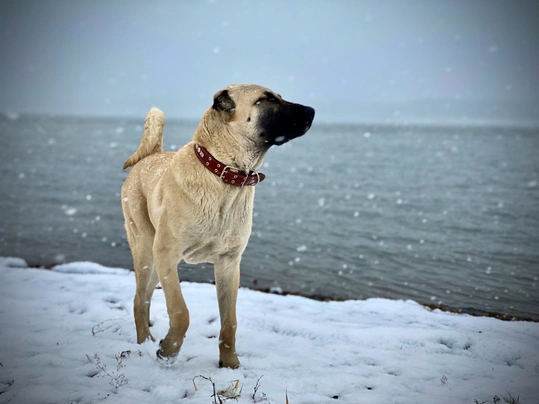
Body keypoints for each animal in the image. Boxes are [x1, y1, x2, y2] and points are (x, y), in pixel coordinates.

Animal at [121, 83, 316, 368]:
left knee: (145, 296)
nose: (312, 110)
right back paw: (144, 341)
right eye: (266, 99)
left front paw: (230, 364)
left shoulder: (228, 263)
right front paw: (168, 350)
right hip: (147, 250)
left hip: (156, 264)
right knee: (138, 298)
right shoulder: (167, 254)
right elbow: (181, 312)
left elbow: (229, 322)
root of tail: (152, 154)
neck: (225, 173)